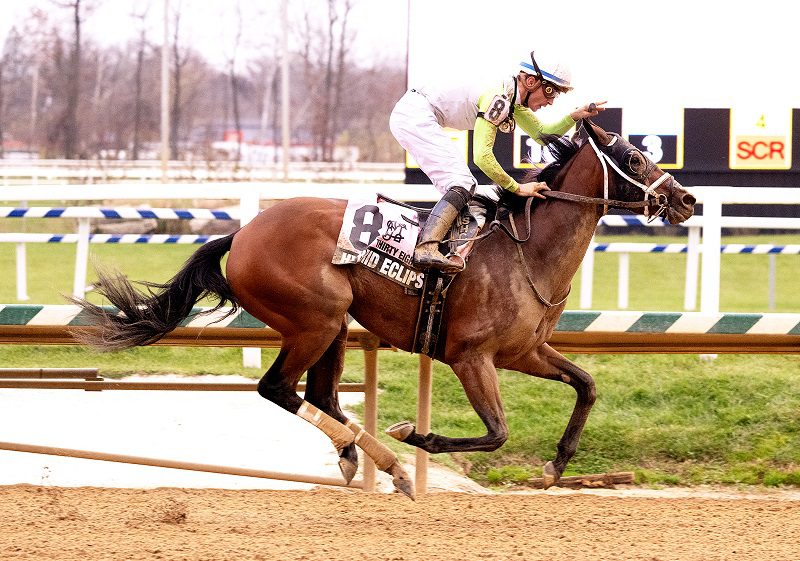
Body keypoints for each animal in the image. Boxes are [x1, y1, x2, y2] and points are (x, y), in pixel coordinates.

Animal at [70, 120, 692, 496]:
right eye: (636, 155)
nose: (686, 199)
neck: (526, 252)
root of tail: (243, 233)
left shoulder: (524, 351)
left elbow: (586, 385)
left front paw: (555, 466)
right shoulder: (470, 357)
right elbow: (496, 432)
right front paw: (417, 435)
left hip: (334, 325)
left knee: (320, 395)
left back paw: (370, 460)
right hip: (316, 318)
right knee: (278, 389)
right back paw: (384, 459)